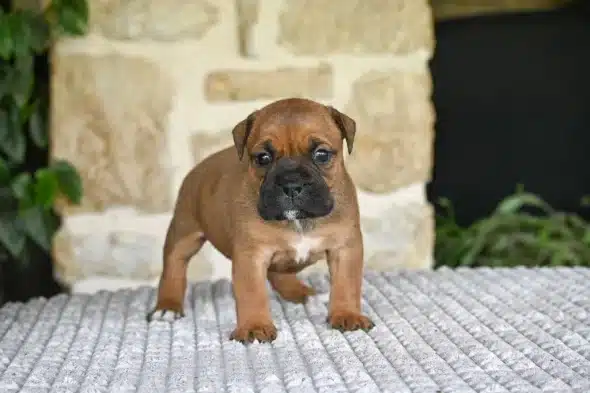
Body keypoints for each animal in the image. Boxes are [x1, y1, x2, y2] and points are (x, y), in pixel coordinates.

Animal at [147, 96, 374, 342]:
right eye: (263, 158)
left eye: (321, 155)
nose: (291, 183)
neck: (298, 221)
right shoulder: (251, 256)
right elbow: (252, 292)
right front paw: (254, 325)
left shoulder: (345, 249)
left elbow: (346, 284)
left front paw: (347, 314)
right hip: (183, 232)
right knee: (174, 266)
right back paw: (167, 306)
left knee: (279, 273)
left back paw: (300, 292)